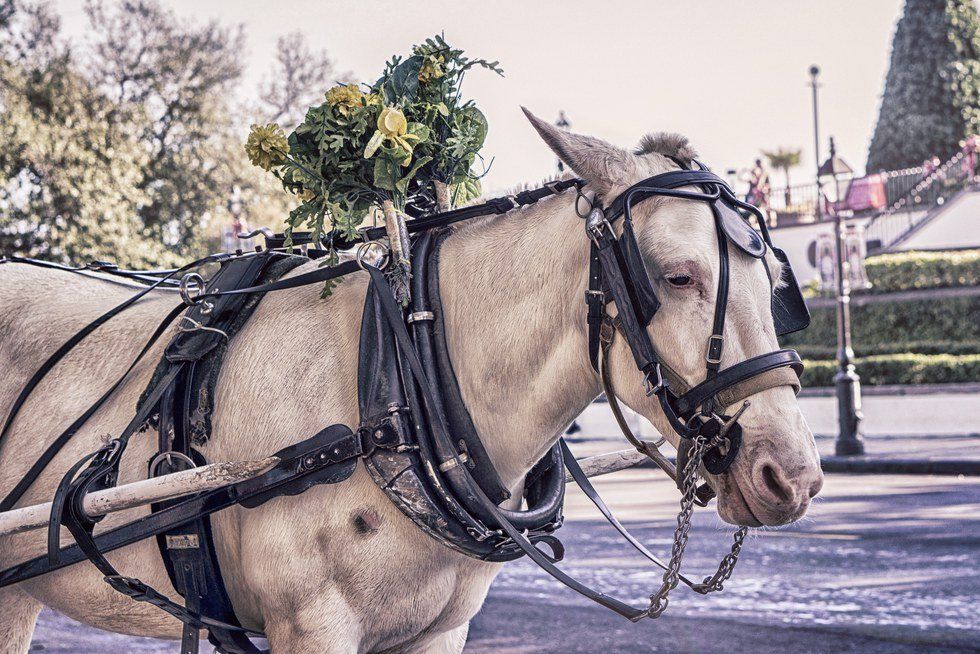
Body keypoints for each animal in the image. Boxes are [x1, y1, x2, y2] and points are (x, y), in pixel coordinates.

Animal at [0, 110, 824, 652]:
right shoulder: (313, 628)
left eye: (775, 279)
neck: (398, 389)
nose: (792, 473)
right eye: (676, 276)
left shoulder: (440, 631)